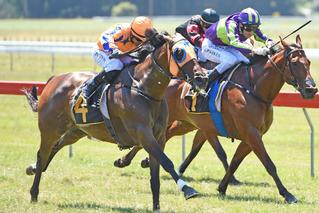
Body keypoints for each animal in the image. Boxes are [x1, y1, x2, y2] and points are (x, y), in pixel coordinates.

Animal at [25, 29, 210, 211]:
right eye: (179, 52)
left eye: (195, 50)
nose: (202, 78)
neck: (143, 88)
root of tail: (53, 80)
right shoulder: (143, 134)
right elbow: (167, 162)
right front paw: (188, 190)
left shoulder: (159, 136)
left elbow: (155, 174)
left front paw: (156, 206)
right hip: (49, 129)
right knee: (42, 154)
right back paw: (34, 193)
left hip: (75, 131)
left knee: (55, 147)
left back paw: (33, 168)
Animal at [112, 35, 318, 203]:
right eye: (295, 63)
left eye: (308, 62)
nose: (311, 89)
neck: (253, 88)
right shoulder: (250, 132)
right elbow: (269, 164)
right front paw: (288, 194)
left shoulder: (250, 135)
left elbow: (234, 161)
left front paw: (222, 186)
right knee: (147, 138)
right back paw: (128, 160)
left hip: (185, 123)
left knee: (161, 137)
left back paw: (134, 160)